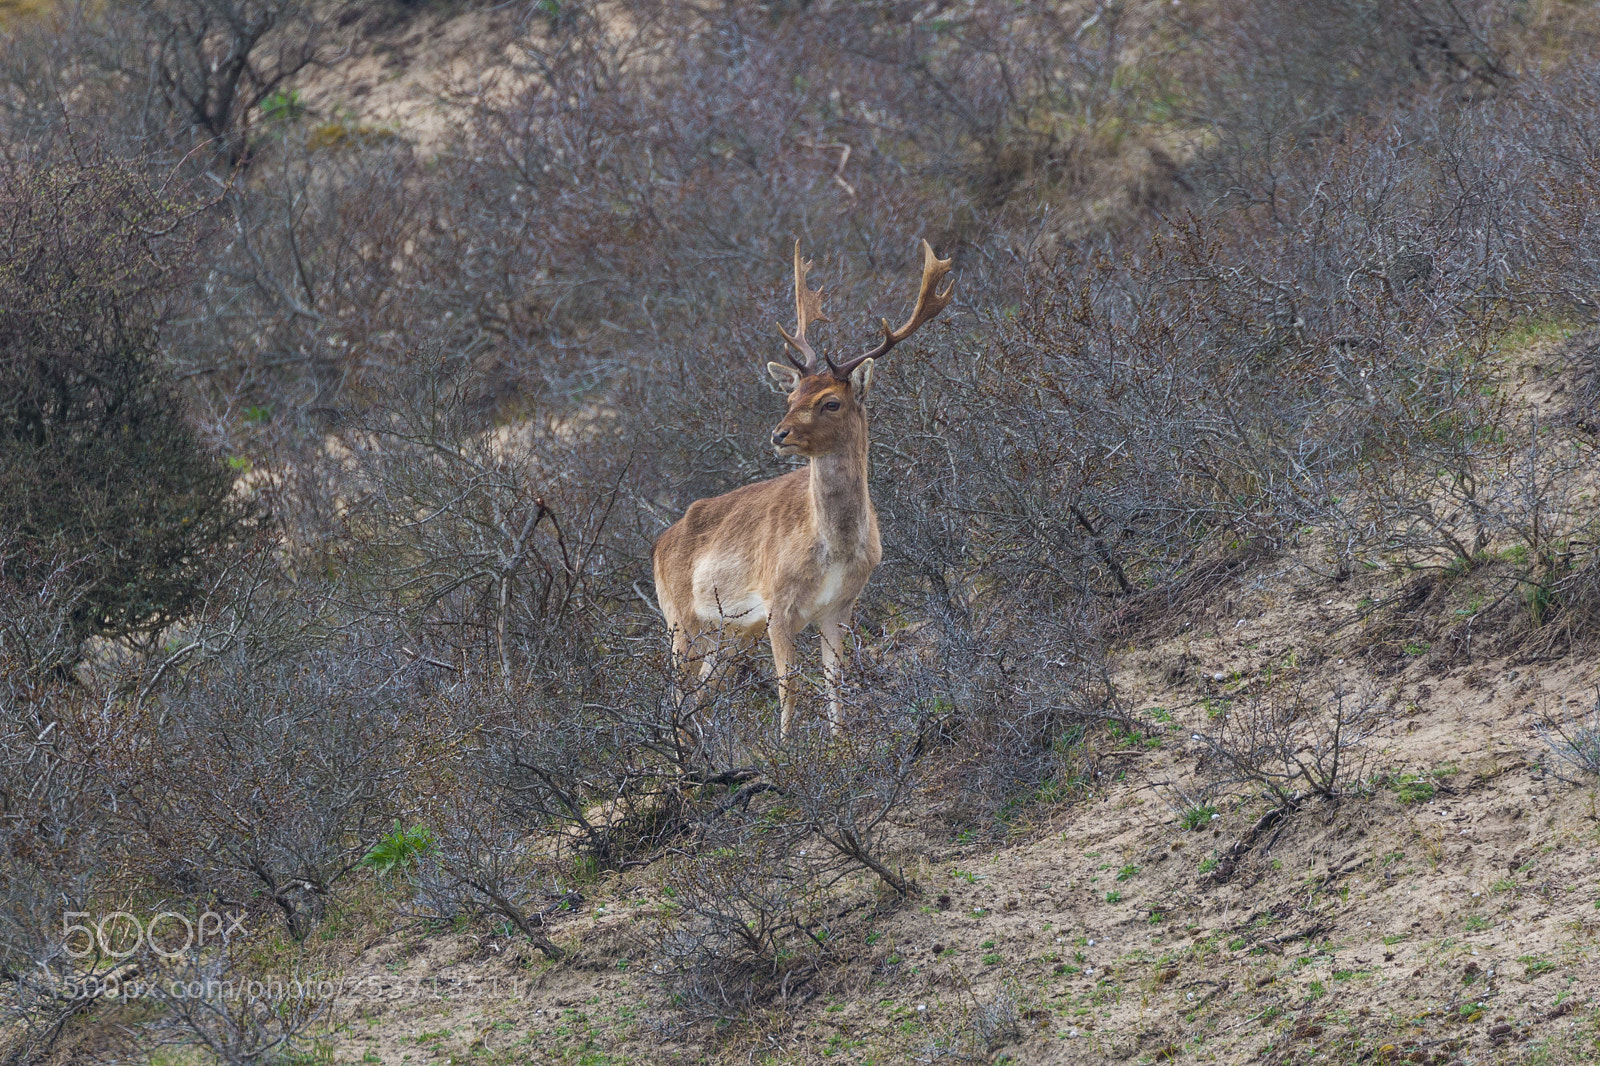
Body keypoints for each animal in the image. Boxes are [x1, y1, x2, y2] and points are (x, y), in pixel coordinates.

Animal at [651, 239, 954, 738]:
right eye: (791, 397)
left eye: (830, 402)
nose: (779, 434)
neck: (833, 548)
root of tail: (658, 544)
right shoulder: (776, 604)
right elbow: (788, 687)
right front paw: (786, 746)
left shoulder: (840, 607)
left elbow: (835, 681)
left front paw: (838, 743)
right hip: (680, 620)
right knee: (676, 695)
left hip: (726, 633)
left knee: (701, 694)